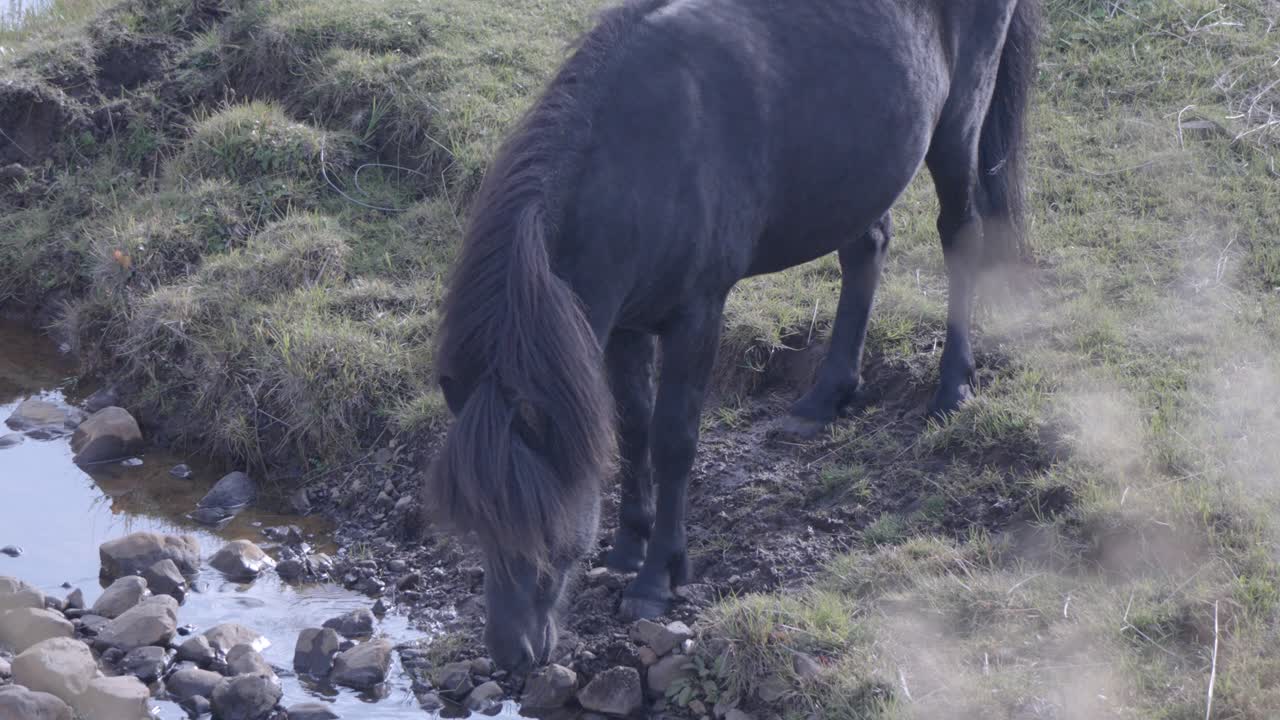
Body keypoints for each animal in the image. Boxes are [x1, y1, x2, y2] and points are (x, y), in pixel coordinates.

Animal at [427, 0, 1042, 673]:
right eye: (474, 522)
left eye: (543, 523)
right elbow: (632, 426)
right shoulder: (622, 324)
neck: (639, 159)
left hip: (957, 128)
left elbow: (673, 439)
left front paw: (657, 578)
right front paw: (628, 544)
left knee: (960, 232)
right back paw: (823, 398)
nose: (511, 654)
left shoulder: (697, 315)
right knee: (866, 246)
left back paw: (953, 386)